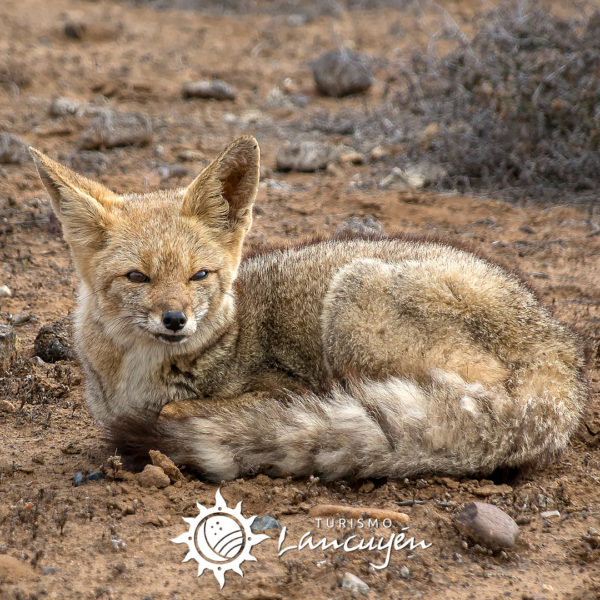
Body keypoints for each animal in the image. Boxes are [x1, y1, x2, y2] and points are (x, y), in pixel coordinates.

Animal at [30, 137, 588, 482]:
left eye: (199, 276)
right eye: (138, 277)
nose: (175, 321)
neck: (137, 373)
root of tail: (561, 348)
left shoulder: (281, 385)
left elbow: (177, 408)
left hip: (351, 302)